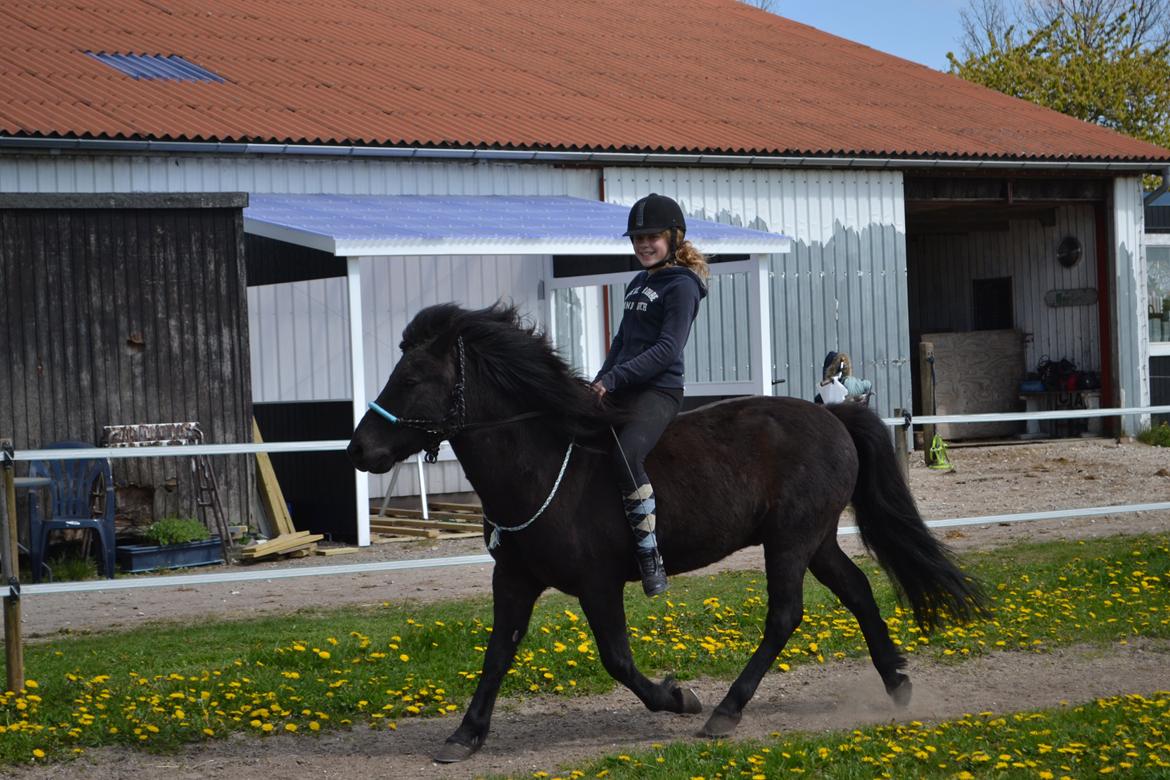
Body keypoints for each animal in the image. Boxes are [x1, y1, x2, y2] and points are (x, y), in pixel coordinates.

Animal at [346, 304, 987, 762]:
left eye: (413, 376)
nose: (358, 450)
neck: (544, 463)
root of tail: (833, 415)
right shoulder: (516, 579)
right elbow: (498, 651)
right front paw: (466, 734)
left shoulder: (598, 585)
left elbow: (617, 660)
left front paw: (678, 698)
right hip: (815, 541)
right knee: (856, 591)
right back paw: (896, 683)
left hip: (789, 543)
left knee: (784, 616)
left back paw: (725, 711)